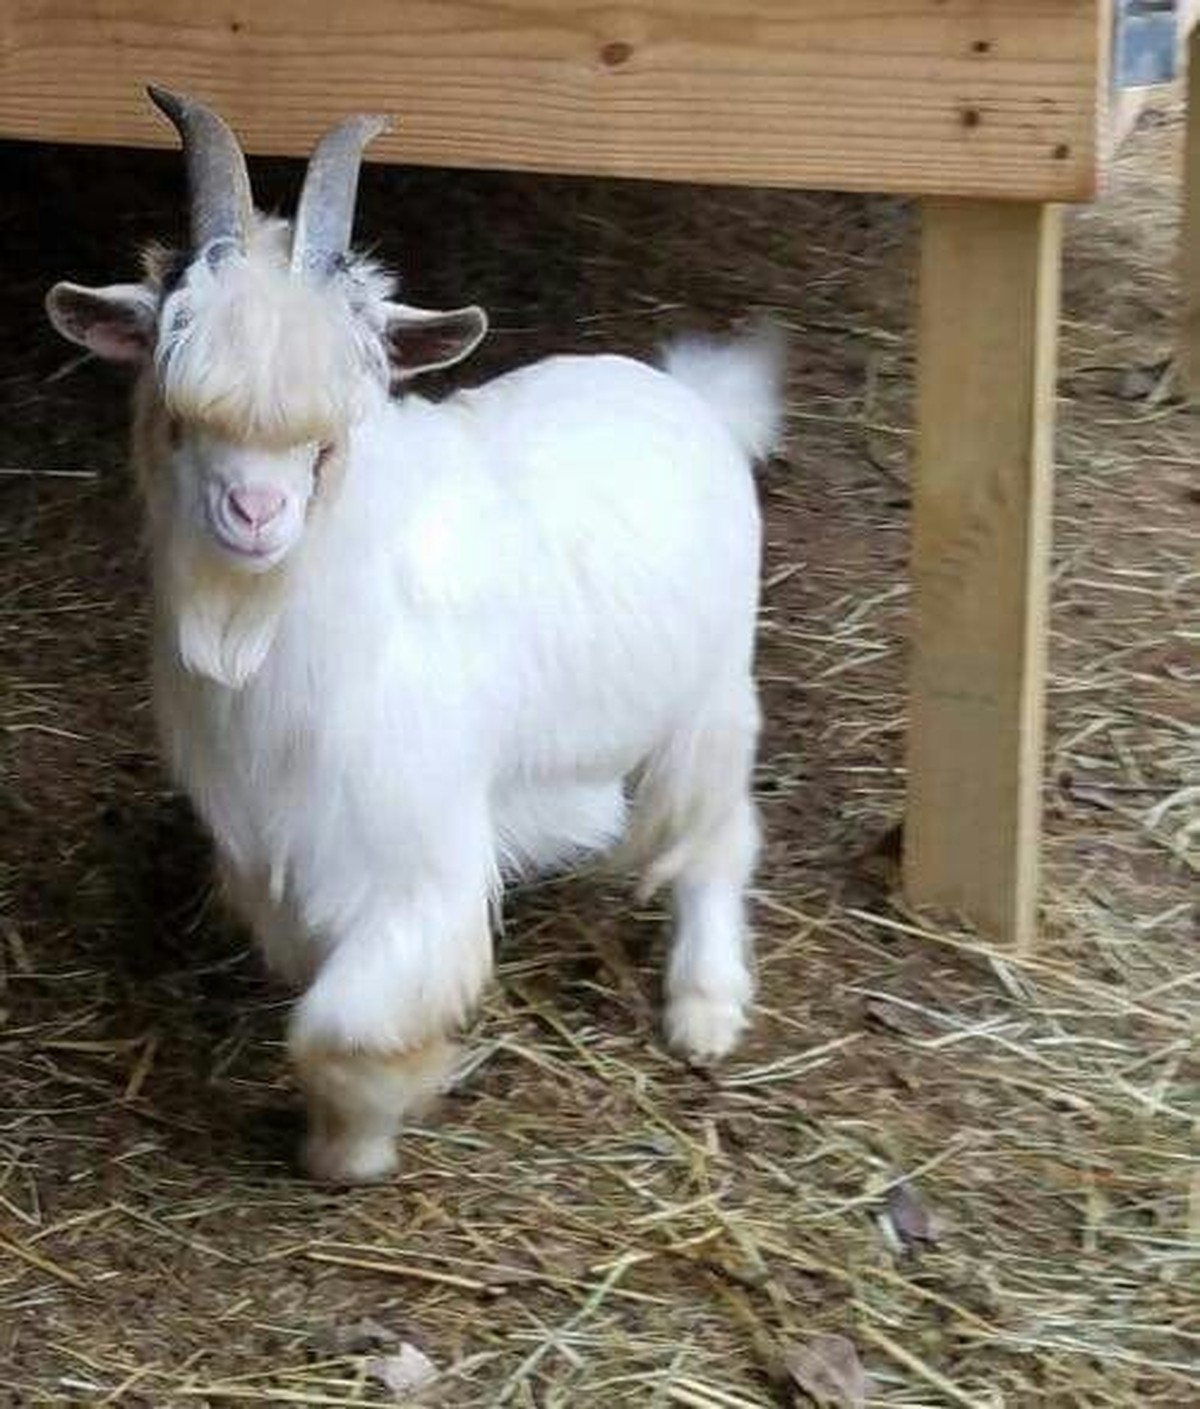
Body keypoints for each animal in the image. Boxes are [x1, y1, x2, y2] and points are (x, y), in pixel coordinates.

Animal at [46, 89, 782, 1182]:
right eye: (176, 406)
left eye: (332, 428)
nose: (255, 513)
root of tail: (694, 399)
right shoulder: (275, 849)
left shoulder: (416, 856)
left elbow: (346, 1025)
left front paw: (347, 1147)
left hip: (714, 695)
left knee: (717, 836)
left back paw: (704, 1004)